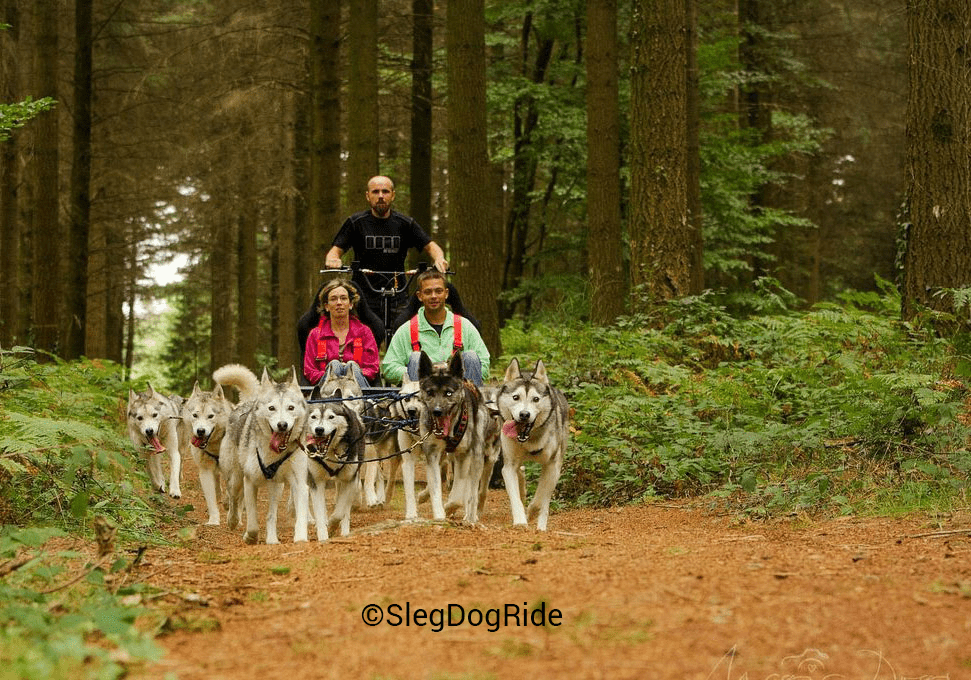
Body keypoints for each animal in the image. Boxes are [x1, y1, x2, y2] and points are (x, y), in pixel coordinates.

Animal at [218, 364, 310, 544]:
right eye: (271, 408)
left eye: (290, 407)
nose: (282, 425)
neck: (274, 455)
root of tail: (249, 401)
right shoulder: (249, 481)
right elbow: (253, 522)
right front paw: (250, 537)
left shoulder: (299, 482)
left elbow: (297, 514)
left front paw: (301, 537)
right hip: (235, 478)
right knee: (233, 498)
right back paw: (232, 519)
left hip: (277, 487)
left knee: (270, 514)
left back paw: (272, 539)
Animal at [304, 386, 364, 540]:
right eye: (313, 417)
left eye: (331, 417)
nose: (319, 430)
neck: (330, 451)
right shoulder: (316, 481)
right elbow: (320, 512)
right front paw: (323, 535)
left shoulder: (349, 479)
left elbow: (339, 512)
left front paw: (332, 525)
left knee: (345, 508)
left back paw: (344, 530)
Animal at [418, 350, 494, 520]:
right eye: (430, 392)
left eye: (448, 393)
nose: (437, 411)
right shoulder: (432, 453)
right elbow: (434, 488)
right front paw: (439, 514)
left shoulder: (463, 456)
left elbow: (458, 497)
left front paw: (449, 508)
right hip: (444, 457)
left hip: (477, 457)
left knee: (472, 491)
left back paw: (471, 517)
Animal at [502, 358, 568, 528]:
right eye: (515, 397)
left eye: (536, 399)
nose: (524, 414)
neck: (529, 440)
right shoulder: (509, 466)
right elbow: (515, 498)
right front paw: (520, 521)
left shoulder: (552, 466)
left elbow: (540, 500)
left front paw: (531, 513)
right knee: (520, 473)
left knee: (545, 501)